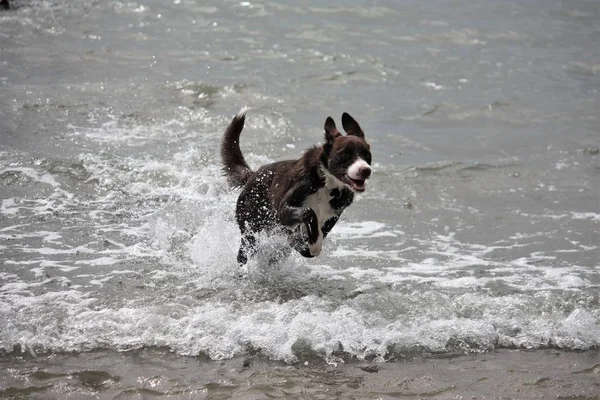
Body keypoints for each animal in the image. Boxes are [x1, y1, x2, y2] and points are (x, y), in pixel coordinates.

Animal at [220, 108, 370, 266]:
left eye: (367, 155)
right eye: (345, 154)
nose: (366, 170)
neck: (326, 184)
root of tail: (252, 175)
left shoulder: (334, 214)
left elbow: (312, 235)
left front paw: (310, 242)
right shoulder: (284, 210)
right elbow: (308, 212)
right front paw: (314, 243)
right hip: (251, 228)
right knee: (245, 251)